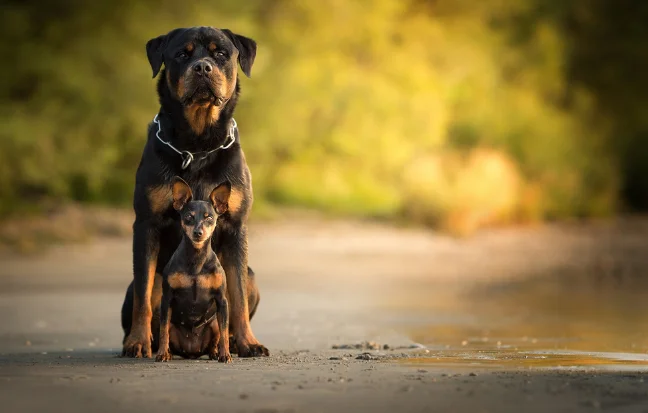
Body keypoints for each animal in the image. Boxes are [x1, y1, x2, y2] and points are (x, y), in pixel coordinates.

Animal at [157, 175, 233, 362]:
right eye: (189, 217)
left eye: (209, 218)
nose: (198, 233)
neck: (196, 259)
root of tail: (192, 351)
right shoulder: (166, 299)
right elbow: (163, 331)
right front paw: (161, 354)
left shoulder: (222, 300)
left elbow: (225, 332)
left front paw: (225, 355)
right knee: (167, 332)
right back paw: (168, 352)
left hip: (213, 324)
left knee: (217, 337)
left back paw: (215, 353)